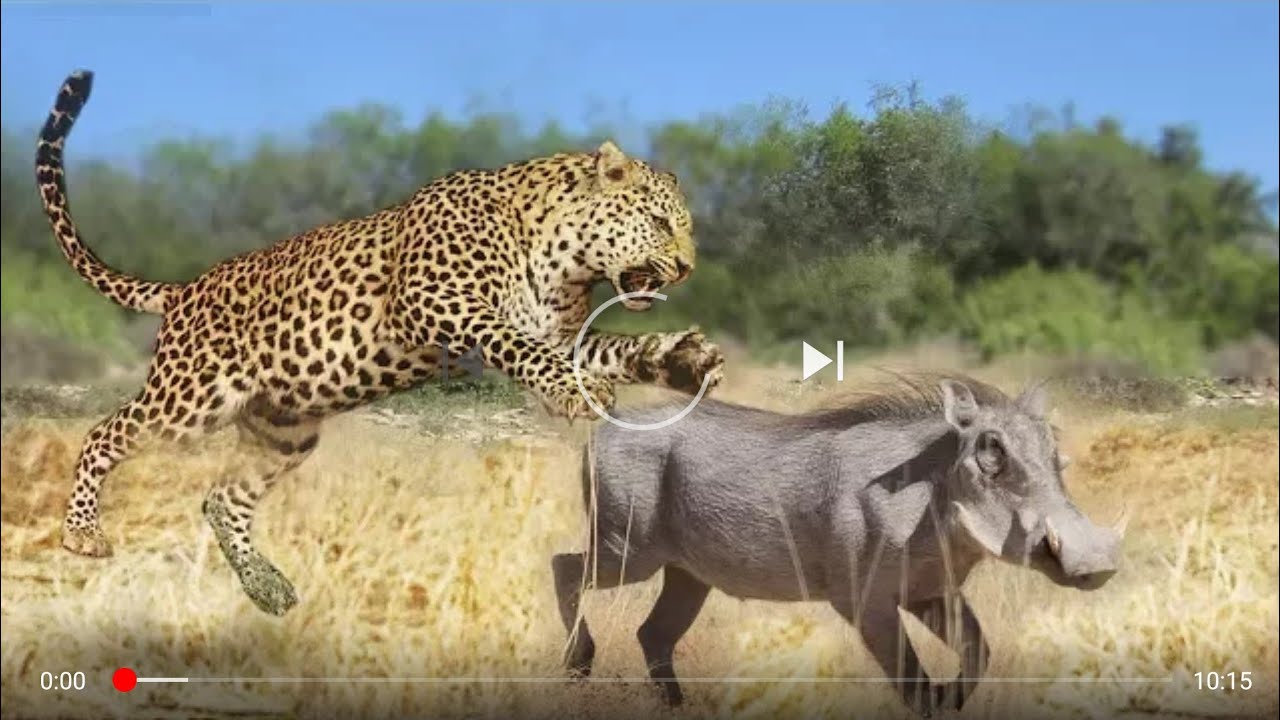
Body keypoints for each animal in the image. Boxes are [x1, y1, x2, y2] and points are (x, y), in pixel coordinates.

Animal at [35, 71, 727, 609]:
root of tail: (184, 290)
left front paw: (685, 360)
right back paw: (81, 533)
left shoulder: (560, 331)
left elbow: (615, 350)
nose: (687, 267)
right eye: (660, 221)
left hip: (284, 430)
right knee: (104, 434)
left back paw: (265, 588)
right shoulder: (436, 303)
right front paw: (575, 394)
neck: (566, 258)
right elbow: (517, 344)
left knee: (222, 498)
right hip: (190, 398)